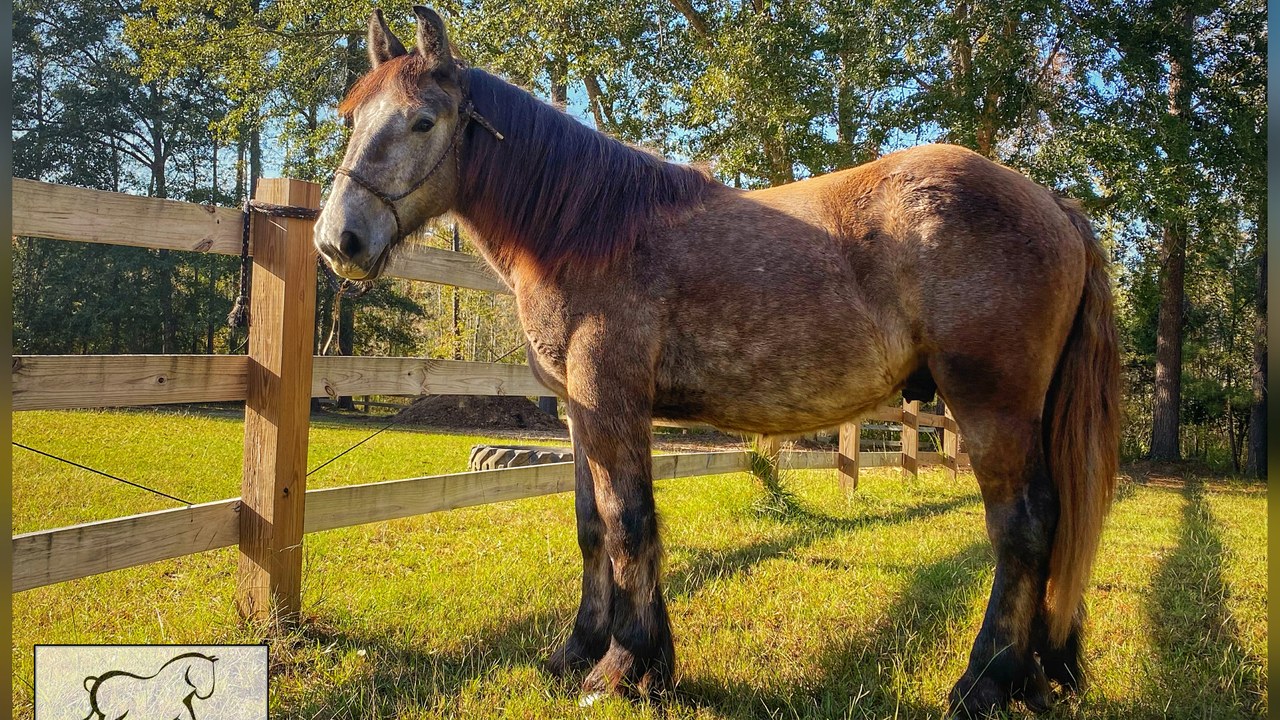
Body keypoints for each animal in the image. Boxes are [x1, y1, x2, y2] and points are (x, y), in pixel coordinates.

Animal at [314, 7, 1120, 717]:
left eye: (424, 120)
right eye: (353, 119)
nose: (338, 240)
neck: (589, 229)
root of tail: (1054, 205)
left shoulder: (612, 398)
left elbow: (628, 522)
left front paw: (626, 667)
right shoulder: (579, 410)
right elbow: (591, 527)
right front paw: (579, 652)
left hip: (993, 409)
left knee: (1023, 528)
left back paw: (985, 683)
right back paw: (1038, 676)